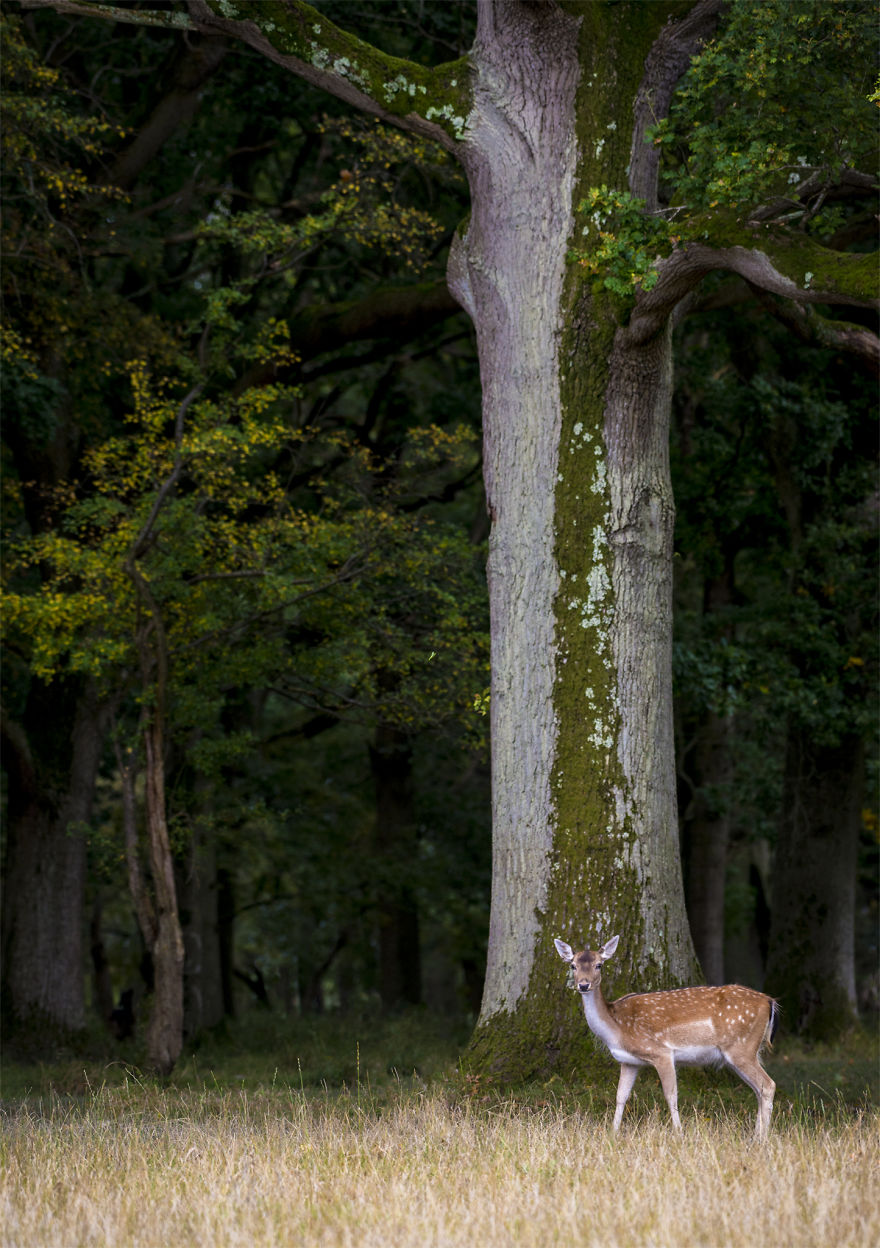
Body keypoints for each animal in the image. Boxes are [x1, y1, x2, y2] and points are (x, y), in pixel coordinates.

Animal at [554, 935, 779, 1135]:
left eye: (599, 965)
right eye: (573, 965)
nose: (584, 985)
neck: (616, 1027)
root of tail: (769, 1002)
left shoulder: (661, 1052)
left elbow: (671, 1095)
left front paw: (679, 1134)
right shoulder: (629, 1061)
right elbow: (620, 1096)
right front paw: (612, 1133)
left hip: (742, 1048)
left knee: (768, 1085)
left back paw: (762, 1139)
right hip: (745, 1051)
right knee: (758, 1089)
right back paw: (755, 1136)